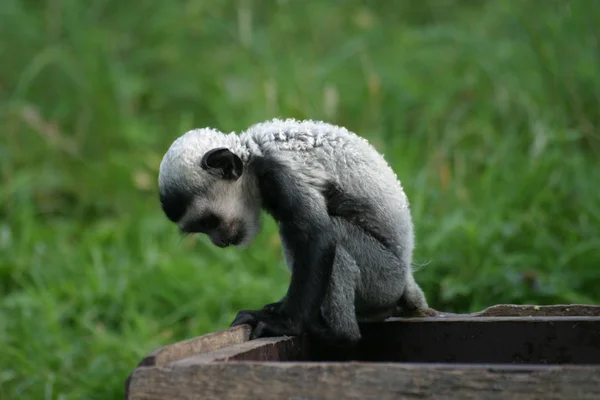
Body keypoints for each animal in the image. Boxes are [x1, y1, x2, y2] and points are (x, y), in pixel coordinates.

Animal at [157, 117, 434, 346]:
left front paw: (288, 325)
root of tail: (405, 278)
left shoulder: (279, 172)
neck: (253, 155)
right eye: (203, 229)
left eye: (209, 223)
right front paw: (276, 310)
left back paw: (339, 334)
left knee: (332, 234)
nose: (218, 242)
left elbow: (318, 237)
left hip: (384, 278)